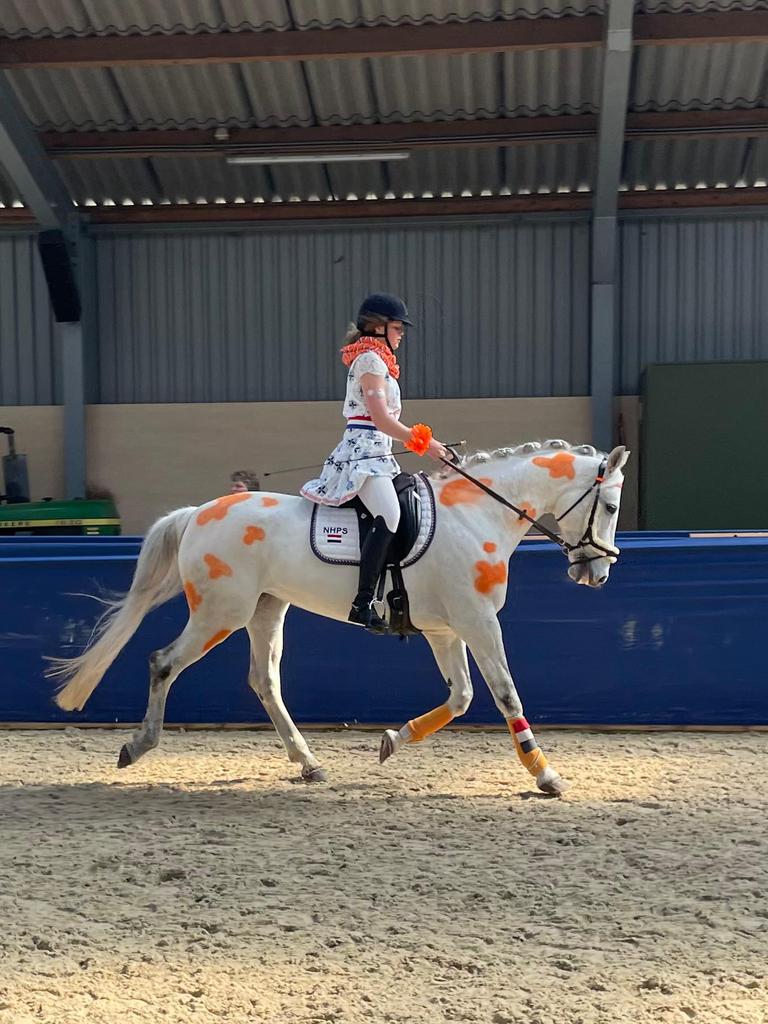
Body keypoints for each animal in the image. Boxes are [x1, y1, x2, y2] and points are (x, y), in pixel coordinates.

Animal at [48, 440, 630, 796]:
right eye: (610, 507)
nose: (597, 573)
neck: (475, 515)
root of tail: (199, 513)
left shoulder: (447, 630)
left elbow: (461, 697)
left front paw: (392, 740)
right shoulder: (478, 622)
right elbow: (506, 694)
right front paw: (546, 774)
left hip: (266, 609)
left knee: (264, 680)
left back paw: (308, 762)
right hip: (221, 612)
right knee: (163, 662)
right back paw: (137, 745)